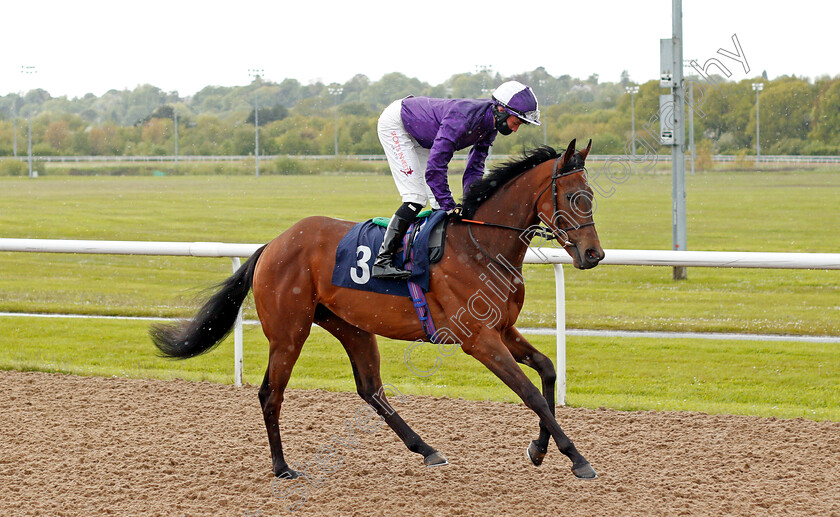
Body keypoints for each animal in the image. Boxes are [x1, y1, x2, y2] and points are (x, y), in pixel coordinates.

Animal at [151, 138, 604, 480]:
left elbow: (547, 370)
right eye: (574, 197)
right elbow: (530, 393)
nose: (593, 254)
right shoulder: (478, 339)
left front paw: (540, 449)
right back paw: (282, 467)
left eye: (592, 196)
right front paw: (577, 458)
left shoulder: (504, 329)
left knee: (370, 388)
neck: (481, 247)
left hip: (351, 326)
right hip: (288, 332)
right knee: (270, 393)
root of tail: (272, 244)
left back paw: (426, 449)